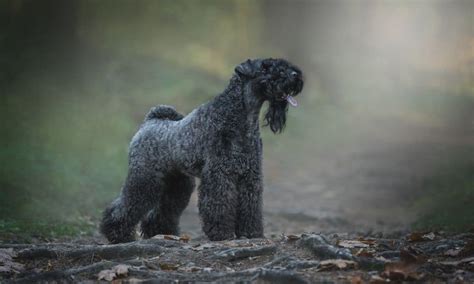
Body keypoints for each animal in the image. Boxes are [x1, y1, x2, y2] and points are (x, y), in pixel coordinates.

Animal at [102, 57, 306, 242]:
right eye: (266, 67)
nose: (295, 75)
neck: (241, 118)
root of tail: (149, 122)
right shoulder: (219, 174)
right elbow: (219, 204)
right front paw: (222, 234)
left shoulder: (250, 175)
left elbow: (251, 205)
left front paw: (251, 232)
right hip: (144, 178)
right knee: (124, 206)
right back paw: (117, 234)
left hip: (178, 184)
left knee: (163, 210)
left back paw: (162, 232)